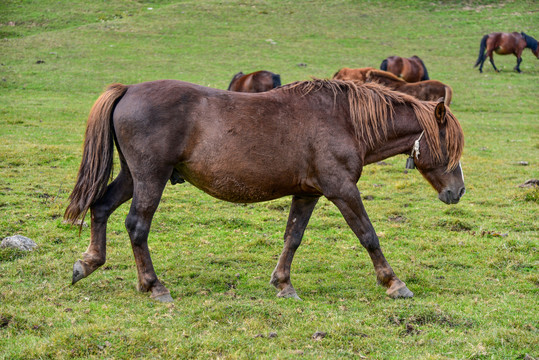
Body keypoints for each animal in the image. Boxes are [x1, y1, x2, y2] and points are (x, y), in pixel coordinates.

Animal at [66, 79, 464, 304]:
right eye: (451, 147)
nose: (458, 191)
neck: (345, 121)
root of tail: (129, 91)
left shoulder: (308, 193)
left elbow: (293, 237)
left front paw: (283, 284)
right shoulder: (341, 189)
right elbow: (368, 235)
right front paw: (394, 283)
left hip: (133, 176)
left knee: (101, 208)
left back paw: (90, 263)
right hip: (151, 177)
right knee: (137, 226)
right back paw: (155, 286)